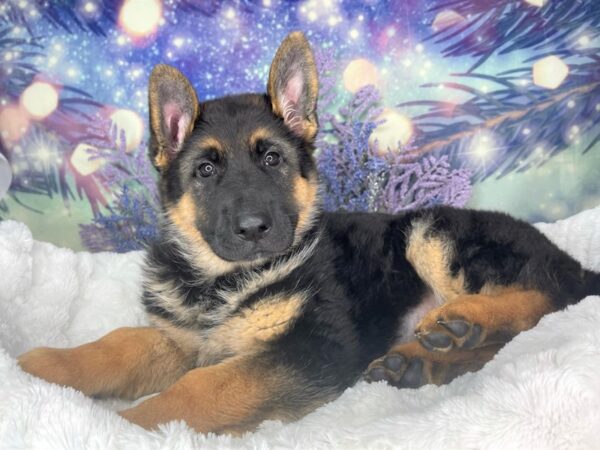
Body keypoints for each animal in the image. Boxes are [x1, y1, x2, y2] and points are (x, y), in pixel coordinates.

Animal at [18, 32, 600, 436]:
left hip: (432, 231)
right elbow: (121, 343)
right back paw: (426, 357)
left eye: (272, 159)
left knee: (546, 297)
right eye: (205, 171)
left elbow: (204, 387)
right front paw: (44, 365)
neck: (220, 281)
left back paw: (462, 322)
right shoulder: (184, 339)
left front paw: (130, 425)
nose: (255, 229)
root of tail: (572, 260)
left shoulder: (313, 347)